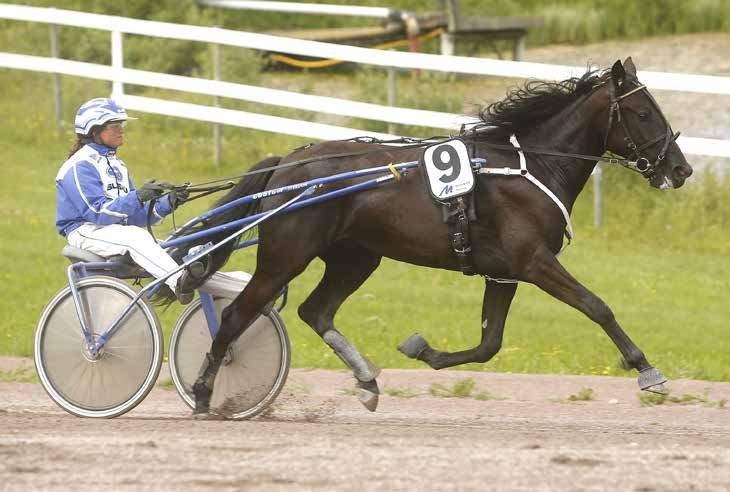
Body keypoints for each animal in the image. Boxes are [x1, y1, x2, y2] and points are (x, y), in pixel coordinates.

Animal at [181, 57, 688, 416]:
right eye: (644, 113)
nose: (681, 169)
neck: (531, 168)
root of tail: (288, 162)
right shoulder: (534, 261)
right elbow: (596, 306)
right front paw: (647, 370)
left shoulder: (503, 274)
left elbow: (489, 345)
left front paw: (423, 350)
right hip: (286, 255)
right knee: (237, 316)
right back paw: (204, 393)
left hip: (356, 258)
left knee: (315, 310)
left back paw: (366, 381)